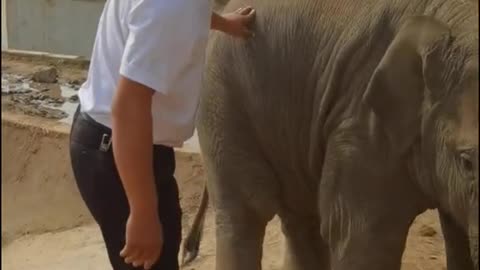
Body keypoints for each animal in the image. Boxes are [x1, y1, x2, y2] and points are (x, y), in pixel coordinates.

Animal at [183, 0, 476, 270]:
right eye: (467, 162)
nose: (189, 249)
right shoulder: (360, 122)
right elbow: (363, 237)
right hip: (221, 97)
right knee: (248, 211)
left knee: (300, 218)